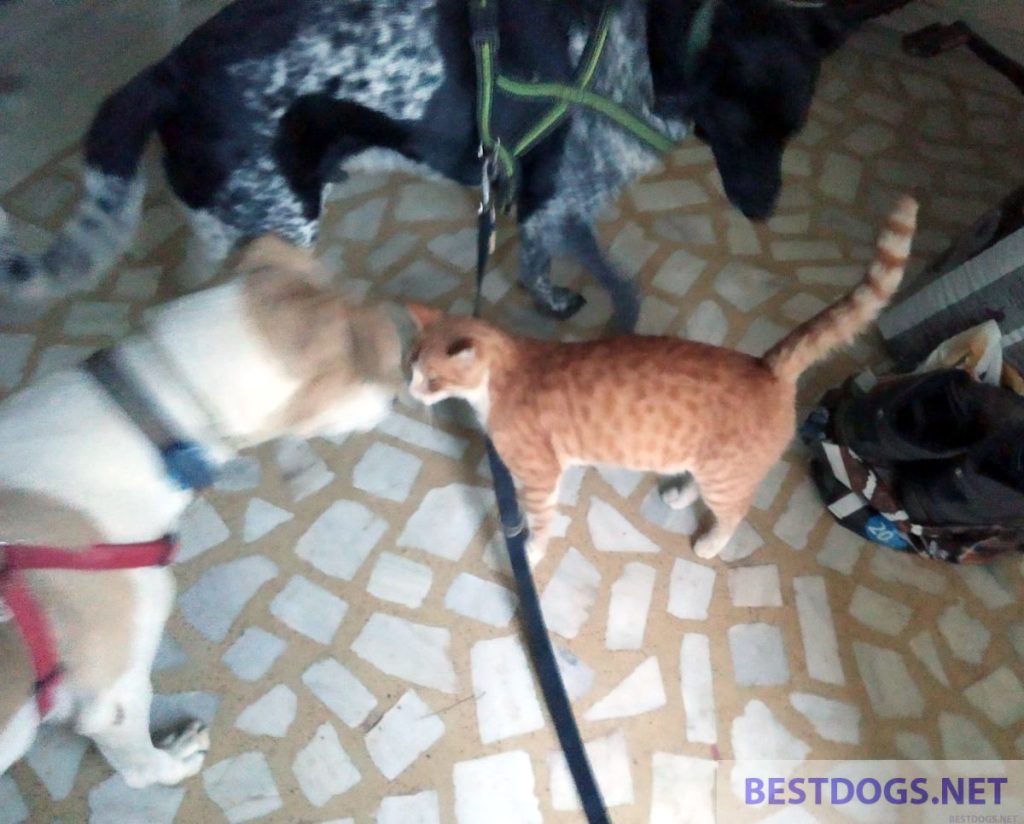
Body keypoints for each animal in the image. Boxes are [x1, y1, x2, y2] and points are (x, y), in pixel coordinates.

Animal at [0, 0, 854, 327]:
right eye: (742, 124)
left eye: (794, 128)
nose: (763, 209)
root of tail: (168, 71)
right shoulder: (562, 199)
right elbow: (619, 286)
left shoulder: (536, 206)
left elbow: (535, 265)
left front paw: (550, 301)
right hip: (278, 224)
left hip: (229, 221)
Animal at [0, 237, 415, 787]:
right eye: (370, 374)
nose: (396, 396)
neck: (148, 419)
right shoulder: (112, 695)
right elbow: (138, 765)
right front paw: (173, 761)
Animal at [407, 196, 918, 564]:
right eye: (409, 366)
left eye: (430, 379)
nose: (409, 393)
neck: (500, 379)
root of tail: (767, 364)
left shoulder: (537, 476)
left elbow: (539, 519)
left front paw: (529, 550)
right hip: (711, 462)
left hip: (725, 477)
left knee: (734, 512)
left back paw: (710, 545)